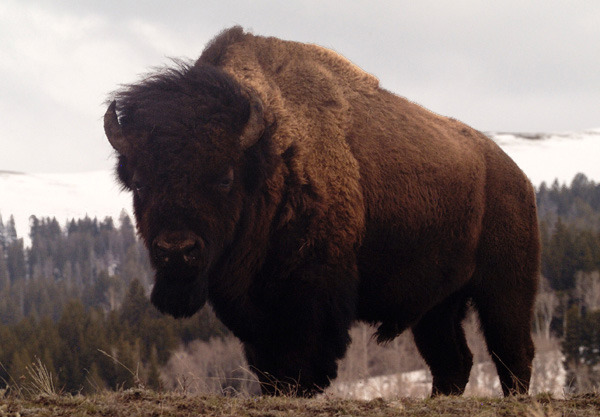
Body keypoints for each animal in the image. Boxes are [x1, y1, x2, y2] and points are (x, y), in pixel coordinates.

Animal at [105, 26, 540, 396]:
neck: (269, 157)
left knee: (512, 350)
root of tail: (515, 176)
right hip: (438, 304)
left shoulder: (310, 296)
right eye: (139, 182)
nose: (176, 249)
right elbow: (267, 367)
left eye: (224, 177)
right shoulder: (252, 309)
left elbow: (301, 363)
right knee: (453, 360)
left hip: (505, 286)